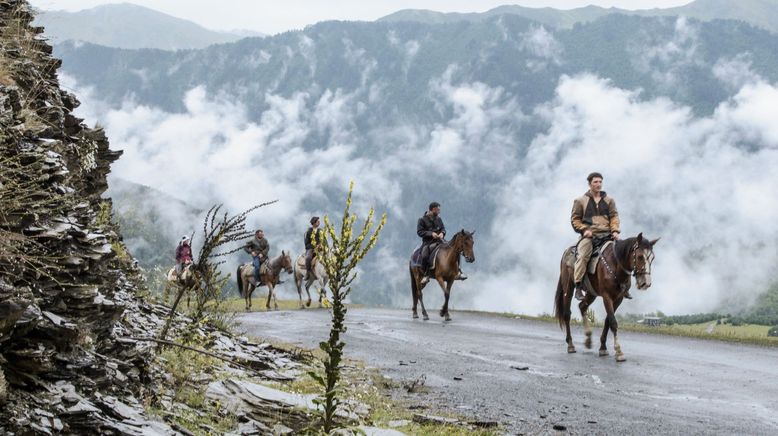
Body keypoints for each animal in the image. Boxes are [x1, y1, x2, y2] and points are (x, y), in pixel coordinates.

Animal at [548, 233, 656, 362]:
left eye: (652, 258)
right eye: (640, 256)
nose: (646, 283)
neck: (615, 265)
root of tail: (567, 252)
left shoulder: (618, 299)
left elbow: (608, 321)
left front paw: (603, 348)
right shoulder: (606, 296)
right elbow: (613, 322)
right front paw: (619, 352)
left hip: (591, 293)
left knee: (582, 306)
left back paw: (588, 339)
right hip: (568, 287)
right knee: (567, 314)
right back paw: (571, 345)